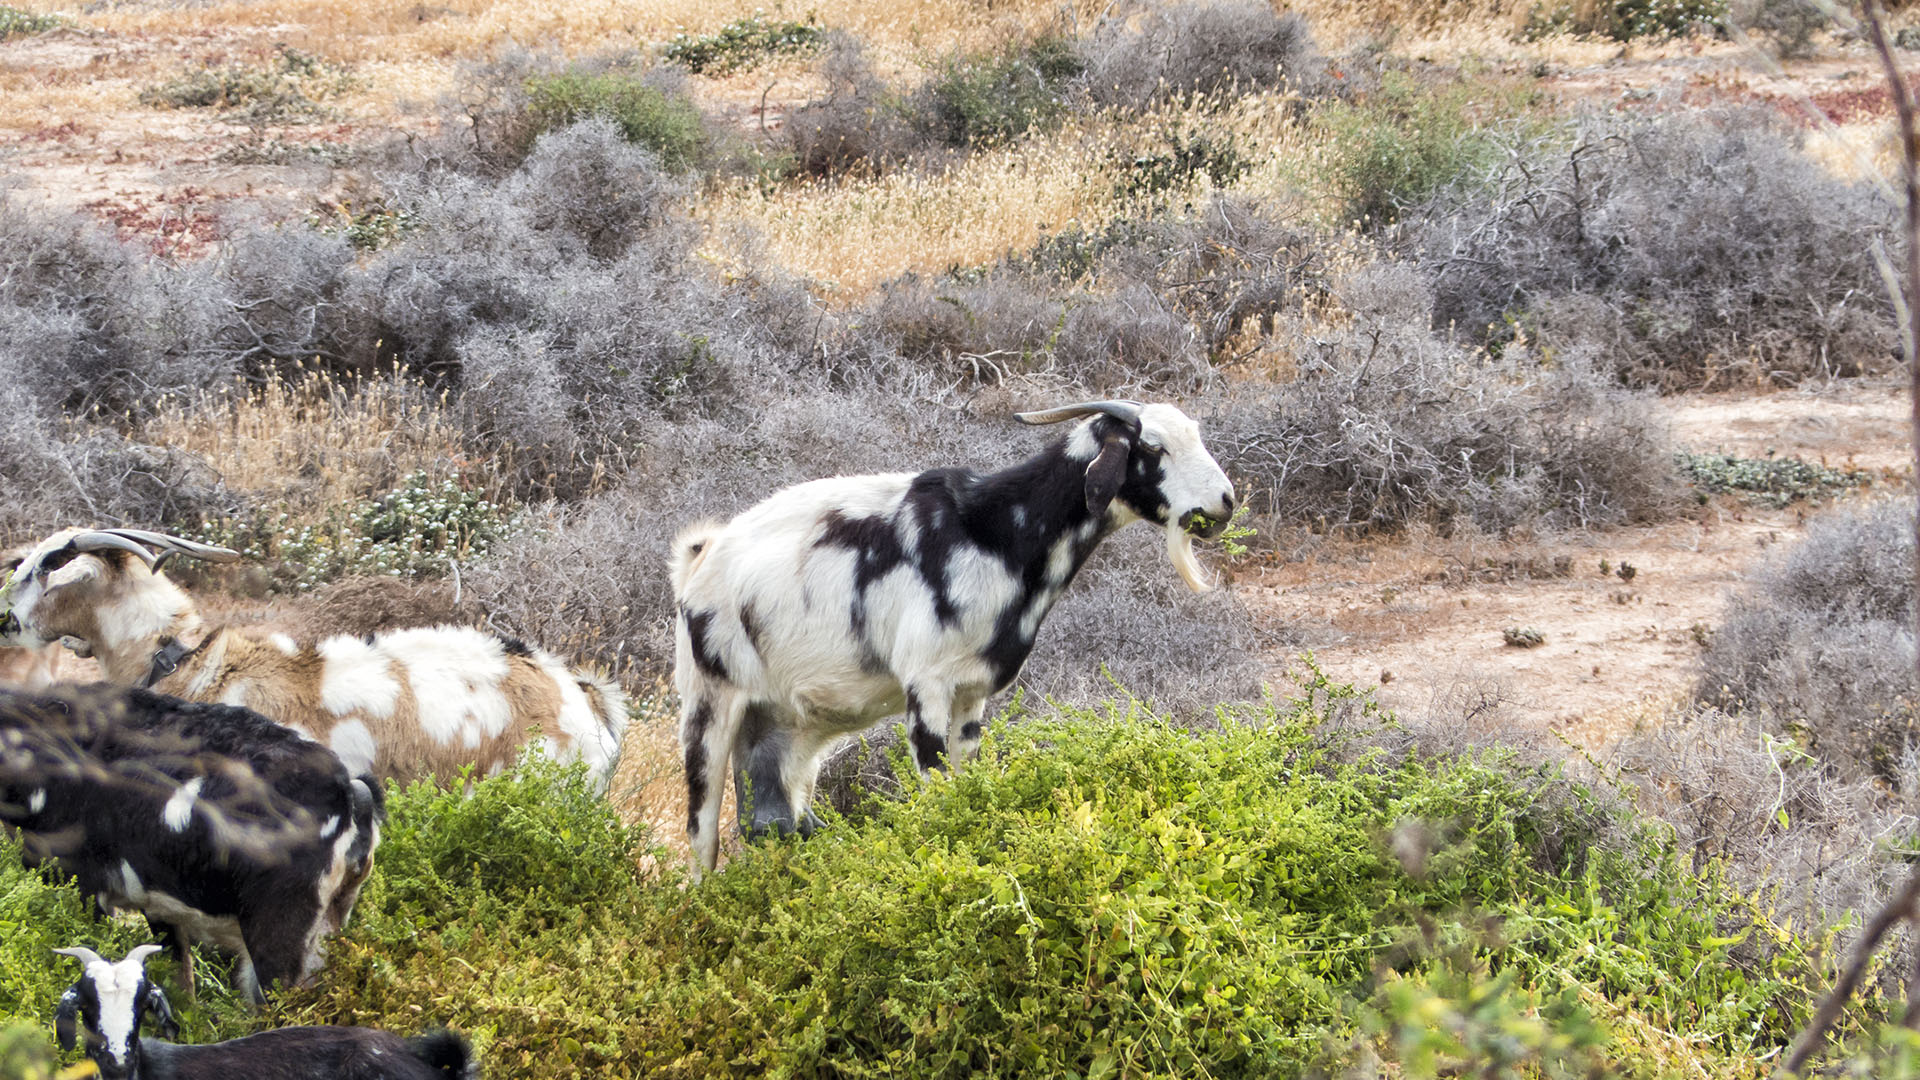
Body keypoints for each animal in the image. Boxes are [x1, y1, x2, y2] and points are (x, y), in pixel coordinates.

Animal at [668, 399, 1236, 868]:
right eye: (1154, 447)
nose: (1226, 500)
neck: (995, 534)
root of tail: (697, 561)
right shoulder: (926, 686)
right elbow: (938, 797)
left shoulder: (972, 694)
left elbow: (969, 786)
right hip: (708, 707)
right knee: (703, 842)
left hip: (780, 735)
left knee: (772, 823)